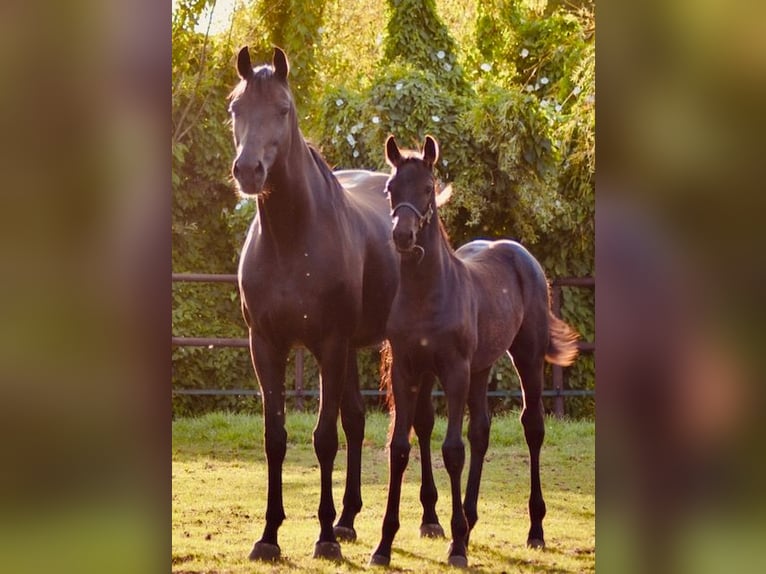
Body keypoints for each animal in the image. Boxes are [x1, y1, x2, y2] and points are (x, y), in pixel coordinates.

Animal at [229, 46, 444, 562]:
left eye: (283, 110)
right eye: (235, 108)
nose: (248, 171)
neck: (291, 238)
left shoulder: (328, 343)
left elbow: (324, 438)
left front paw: (324, 537)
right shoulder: (266, 346)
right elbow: (276, 438)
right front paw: (269, 536)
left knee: (422, 423)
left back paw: (427, 518)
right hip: (348, 351)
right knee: (357, 420)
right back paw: (348, 518)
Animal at [370, 135, 579, 568]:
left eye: (428, 188)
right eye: (391, 189)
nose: (403, 236)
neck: (427, 293)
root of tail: (521, 254)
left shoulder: (454, 371)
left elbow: (453, 450)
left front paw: (457, 548)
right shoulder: (407, 371)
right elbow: (400, 448)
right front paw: (383, 546)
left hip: (526, 357)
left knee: (533, 426)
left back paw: (534, 529)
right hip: (481, 368)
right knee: (481, 430)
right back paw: (469, 519)